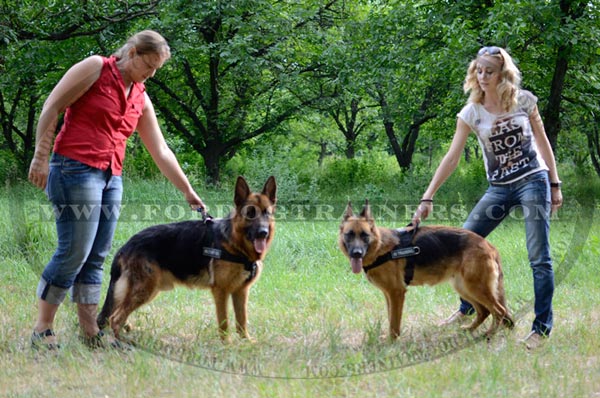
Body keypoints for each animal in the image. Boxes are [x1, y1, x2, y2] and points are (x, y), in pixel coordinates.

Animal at [98, 177, 276, 342]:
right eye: (250, 213)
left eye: (267, 213)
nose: (263, 233)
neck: (236, 244)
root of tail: (126, 245)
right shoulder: (221, 291)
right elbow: (224, 322)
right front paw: (227, 344)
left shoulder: (241, 291)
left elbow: (242, 320)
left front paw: (246, 341)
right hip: (144, 289)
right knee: (115, 318)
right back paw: (123, 342)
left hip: (147, 290)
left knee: (117, 314)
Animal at [340, 201, 512, 340]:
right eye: (349, 235)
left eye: (364, 235)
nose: (356, 253)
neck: (380, 248)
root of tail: (488, 246)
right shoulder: (388, 294)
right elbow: (390, 317)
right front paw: (389, 338)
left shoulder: (396, 293)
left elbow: (394, 322)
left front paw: (392, 341)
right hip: (465, 288)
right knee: (484, 311)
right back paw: (470, 329)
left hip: (475, 288)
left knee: (500, 310)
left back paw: (489, 334)